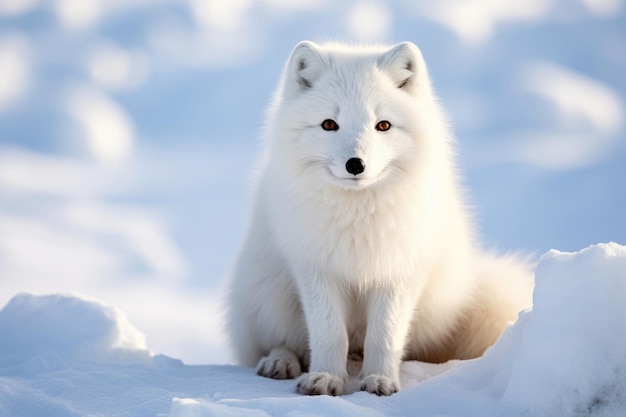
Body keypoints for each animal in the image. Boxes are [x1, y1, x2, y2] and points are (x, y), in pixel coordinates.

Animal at [227, 41, 528, 396]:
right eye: (329, 124)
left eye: (383, 125)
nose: (355, 164)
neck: (358, 216)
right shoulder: (316, 269)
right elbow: (329, 335)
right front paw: (325, 378)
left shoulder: (399, 273)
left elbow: (384, 336)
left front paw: (380, 380)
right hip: (269, 295)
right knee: (279, 342)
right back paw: (280, 362)